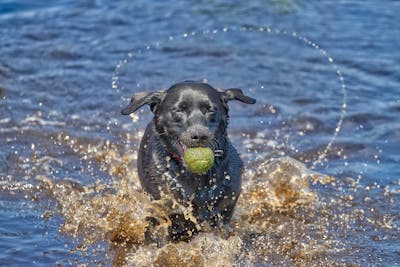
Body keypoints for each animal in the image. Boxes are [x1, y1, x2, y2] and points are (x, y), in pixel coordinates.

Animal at [120, 81, 255, 241]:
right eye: (179, 110)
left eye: (210, 110)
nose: (200, 135)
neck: (197, 179)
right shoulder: (163, 214)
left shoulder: (225, 210)